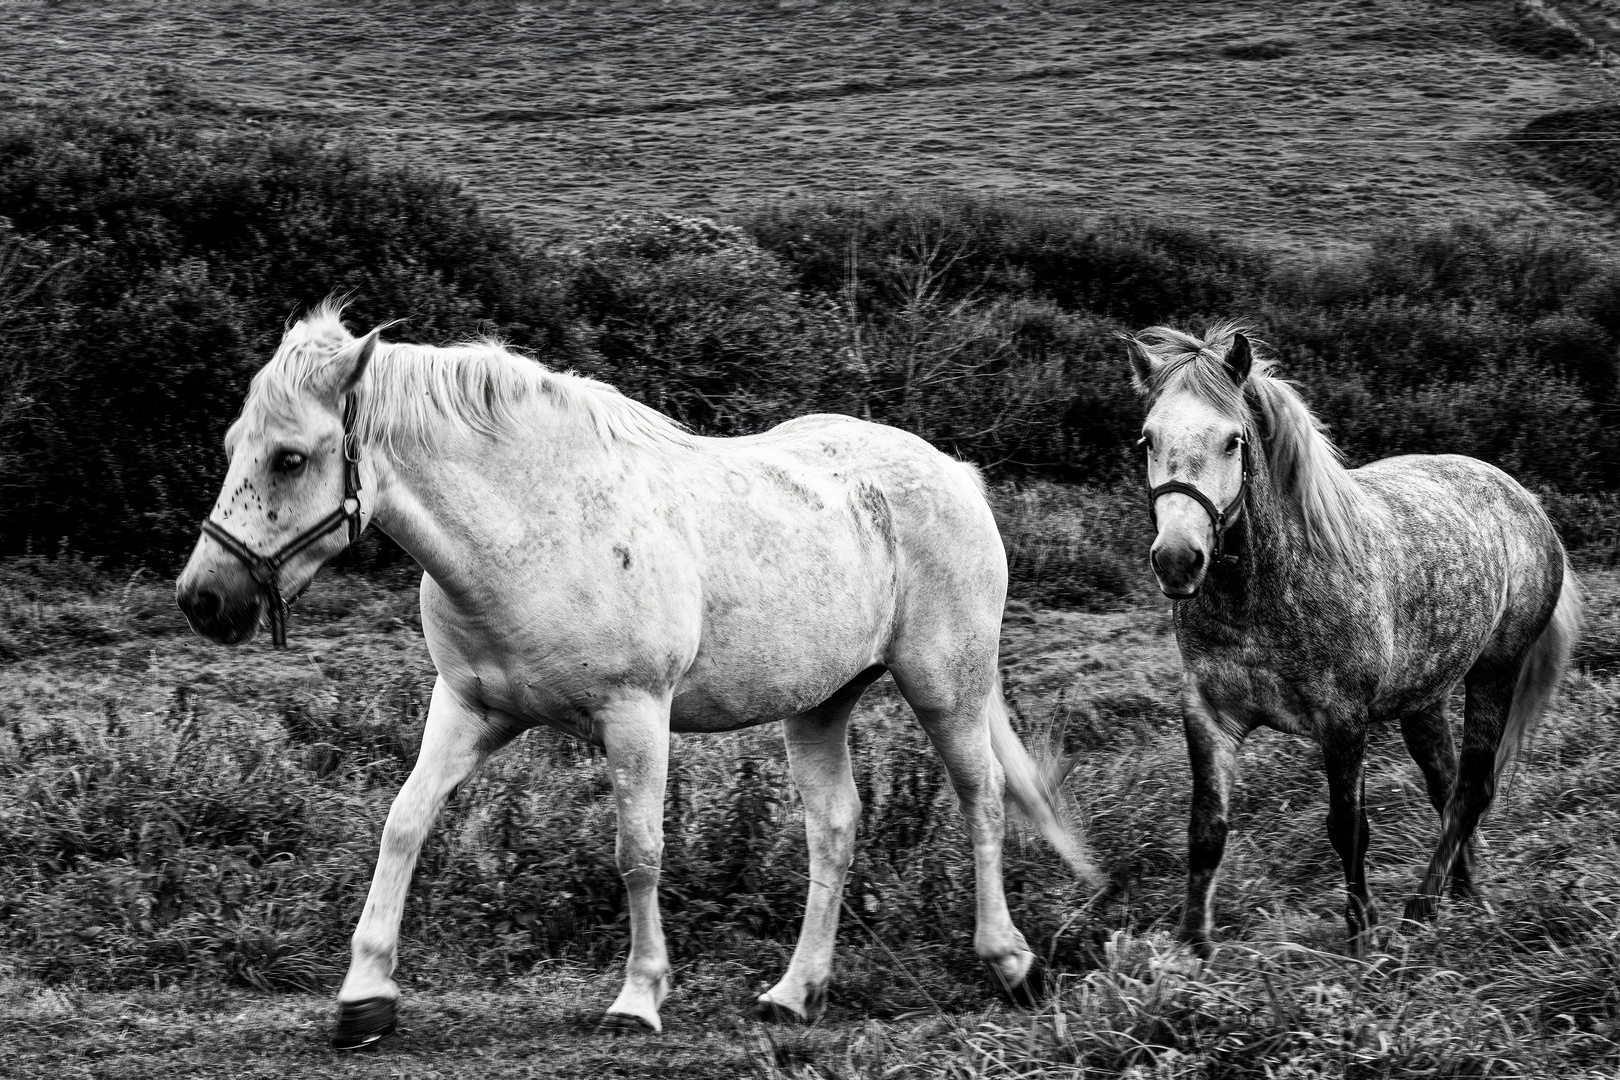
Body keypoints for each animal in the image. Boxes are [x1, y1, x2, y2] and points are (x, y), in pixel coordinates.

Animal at [174, 302, 1088, 1049]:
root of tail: (952, 472)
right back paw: (795, 992)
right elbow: (404, 824)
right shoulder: (468, 710)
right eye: (233, 448)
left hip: (946, 686)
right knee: (834, 827)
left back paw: (1011, 963)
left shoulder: (636, 717)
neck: (531, 529)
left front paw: (638, 998)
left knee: (980, 801)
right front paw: (365, 996)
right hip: (821, 705)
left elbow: (638, 853)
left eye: (291, 459)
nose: (203, 600)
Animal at [1121, 318, 1574, 952]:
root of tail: (1523, 499)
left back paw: (1423, 908)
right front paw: (1191, 949)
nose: (1178, 559)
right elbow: (1206, 830)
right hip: (1425, 697)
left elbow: (1347, 828)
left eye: (1233, 441)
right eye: (1147, 440)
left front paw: (1364, 936)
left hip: (1495, 671)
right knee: (1447, 787)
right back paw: (1467, 896)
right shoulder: (1208, 713)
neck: (1258, 597)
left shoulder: (1342, 721)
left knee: (1471, 790)